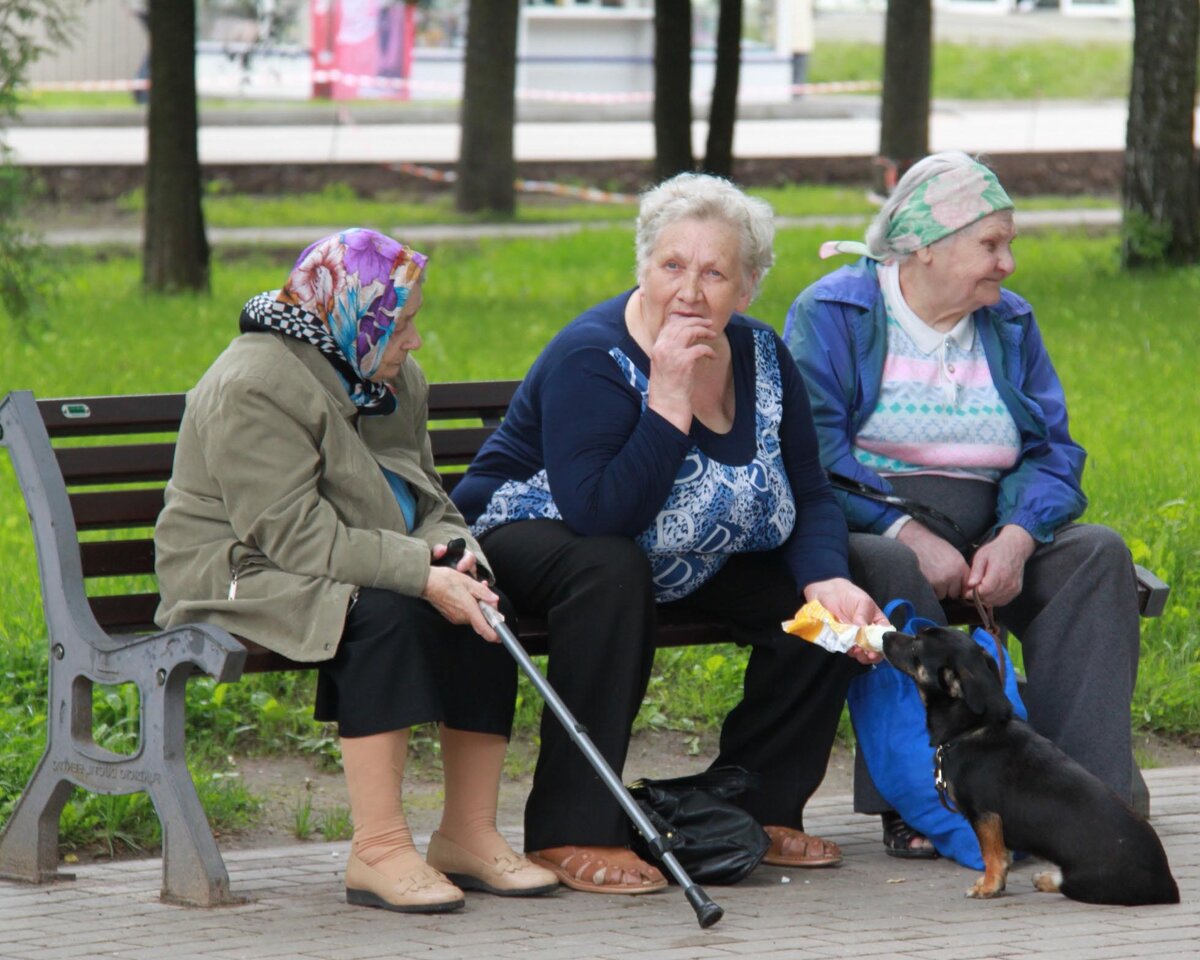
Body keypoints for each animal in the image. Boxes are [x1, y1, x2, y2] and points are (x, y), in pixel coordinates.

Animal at [888, 624, 1176, 902]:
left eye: (916, 645)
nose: (886, 635)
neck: (975, 728)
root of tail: (1169, 886)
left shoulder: (986, 816)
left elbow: (992, 856)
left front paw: (989, 886)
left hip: (1084, 881)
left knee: (1064, 883)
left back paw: (1047, 878)